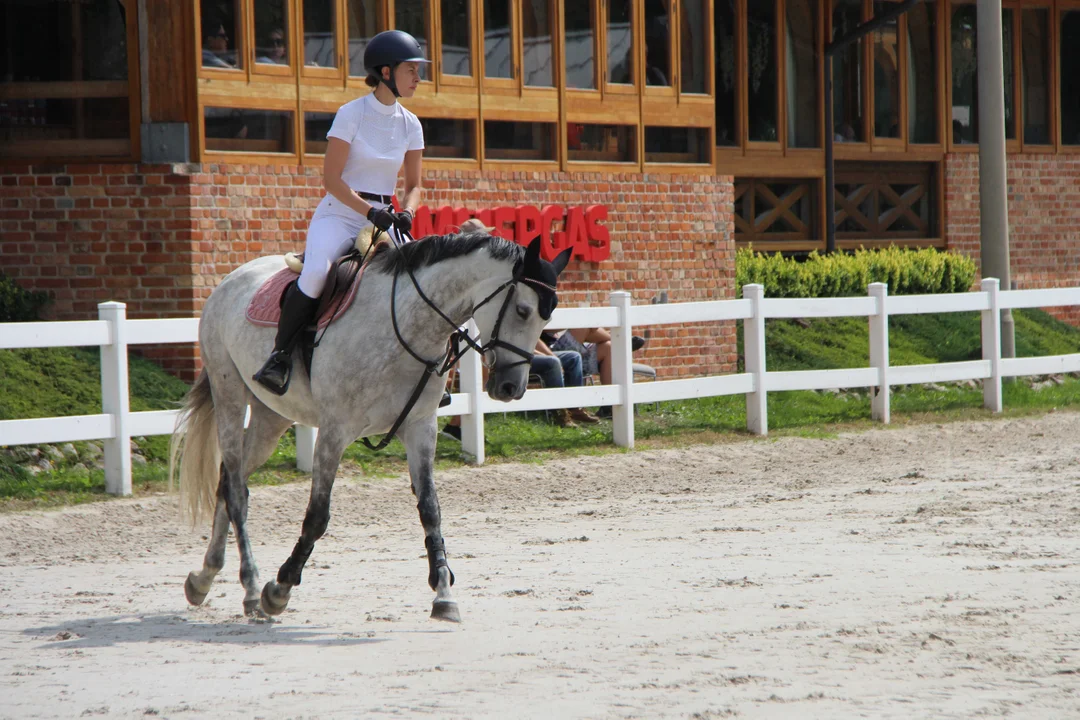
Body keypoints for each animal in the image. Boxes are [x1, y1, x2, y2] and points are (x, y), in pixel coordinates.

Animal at [168, 234, 574, 621]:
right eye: (522, 310)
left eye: (546, 320)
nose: (510, 388)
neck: (407, 327)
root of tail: (231, 279)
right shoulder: (334, 432)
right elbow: (317, 517)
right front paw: (279, 589)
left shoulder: (420, 428)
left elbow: (430, 510)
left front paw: (444, 596)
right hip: (230, 398)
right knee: (236, 491)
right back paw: (252, 588)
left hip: (272, 418)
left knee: (227, 483)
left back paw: (203, 578)